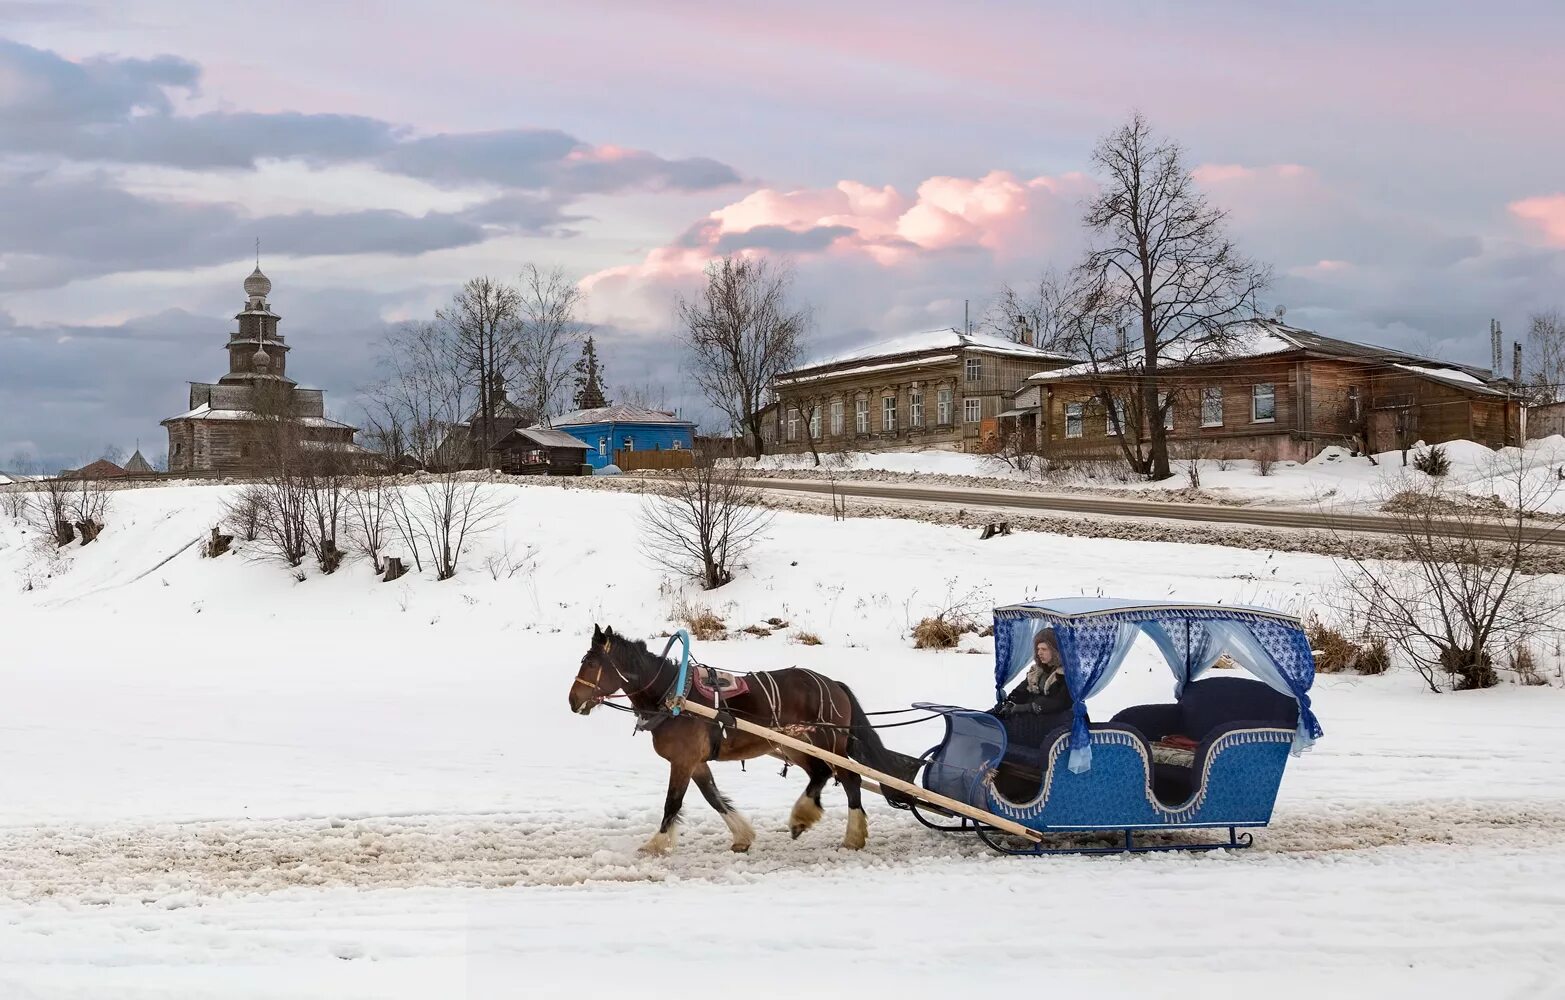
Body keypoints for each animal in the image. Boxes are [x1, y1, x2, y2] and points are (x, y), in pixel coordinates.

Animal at [566, 625, 913, 851]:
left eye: (592, 663)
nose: (572, 700)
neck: (673, 696)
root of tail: (834, 684)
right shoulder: (696, 762)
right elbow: (714, 797)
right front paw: (742, 837)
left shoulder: (683, 761)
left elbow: (672, 802)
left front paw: (656, 844)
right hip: (796, 745)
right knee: (821, 775)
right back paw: (803, 818)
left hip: (829, 743)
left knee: (850, 779)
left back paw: (851, 835)